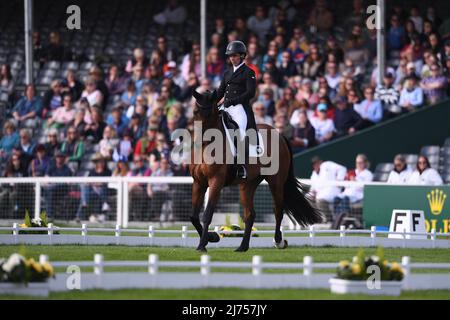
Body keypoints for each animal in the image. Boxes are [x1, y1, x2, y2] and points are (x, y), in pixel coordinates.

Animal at [188, 89, 322, 251]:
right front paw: (211, 237)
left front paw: (203, 244)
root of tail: (279, 134)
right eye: (195, 112)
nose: (198, 142)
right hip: (248, 184)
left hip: (276, 182)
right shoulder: (198, 182)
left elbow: (207, 214)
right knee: (250, 214)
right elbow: (193, 216)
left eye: (209, 113)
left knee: (278, 211)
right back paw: (242, 247)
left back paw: (278, 241)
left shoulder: (216, 181)